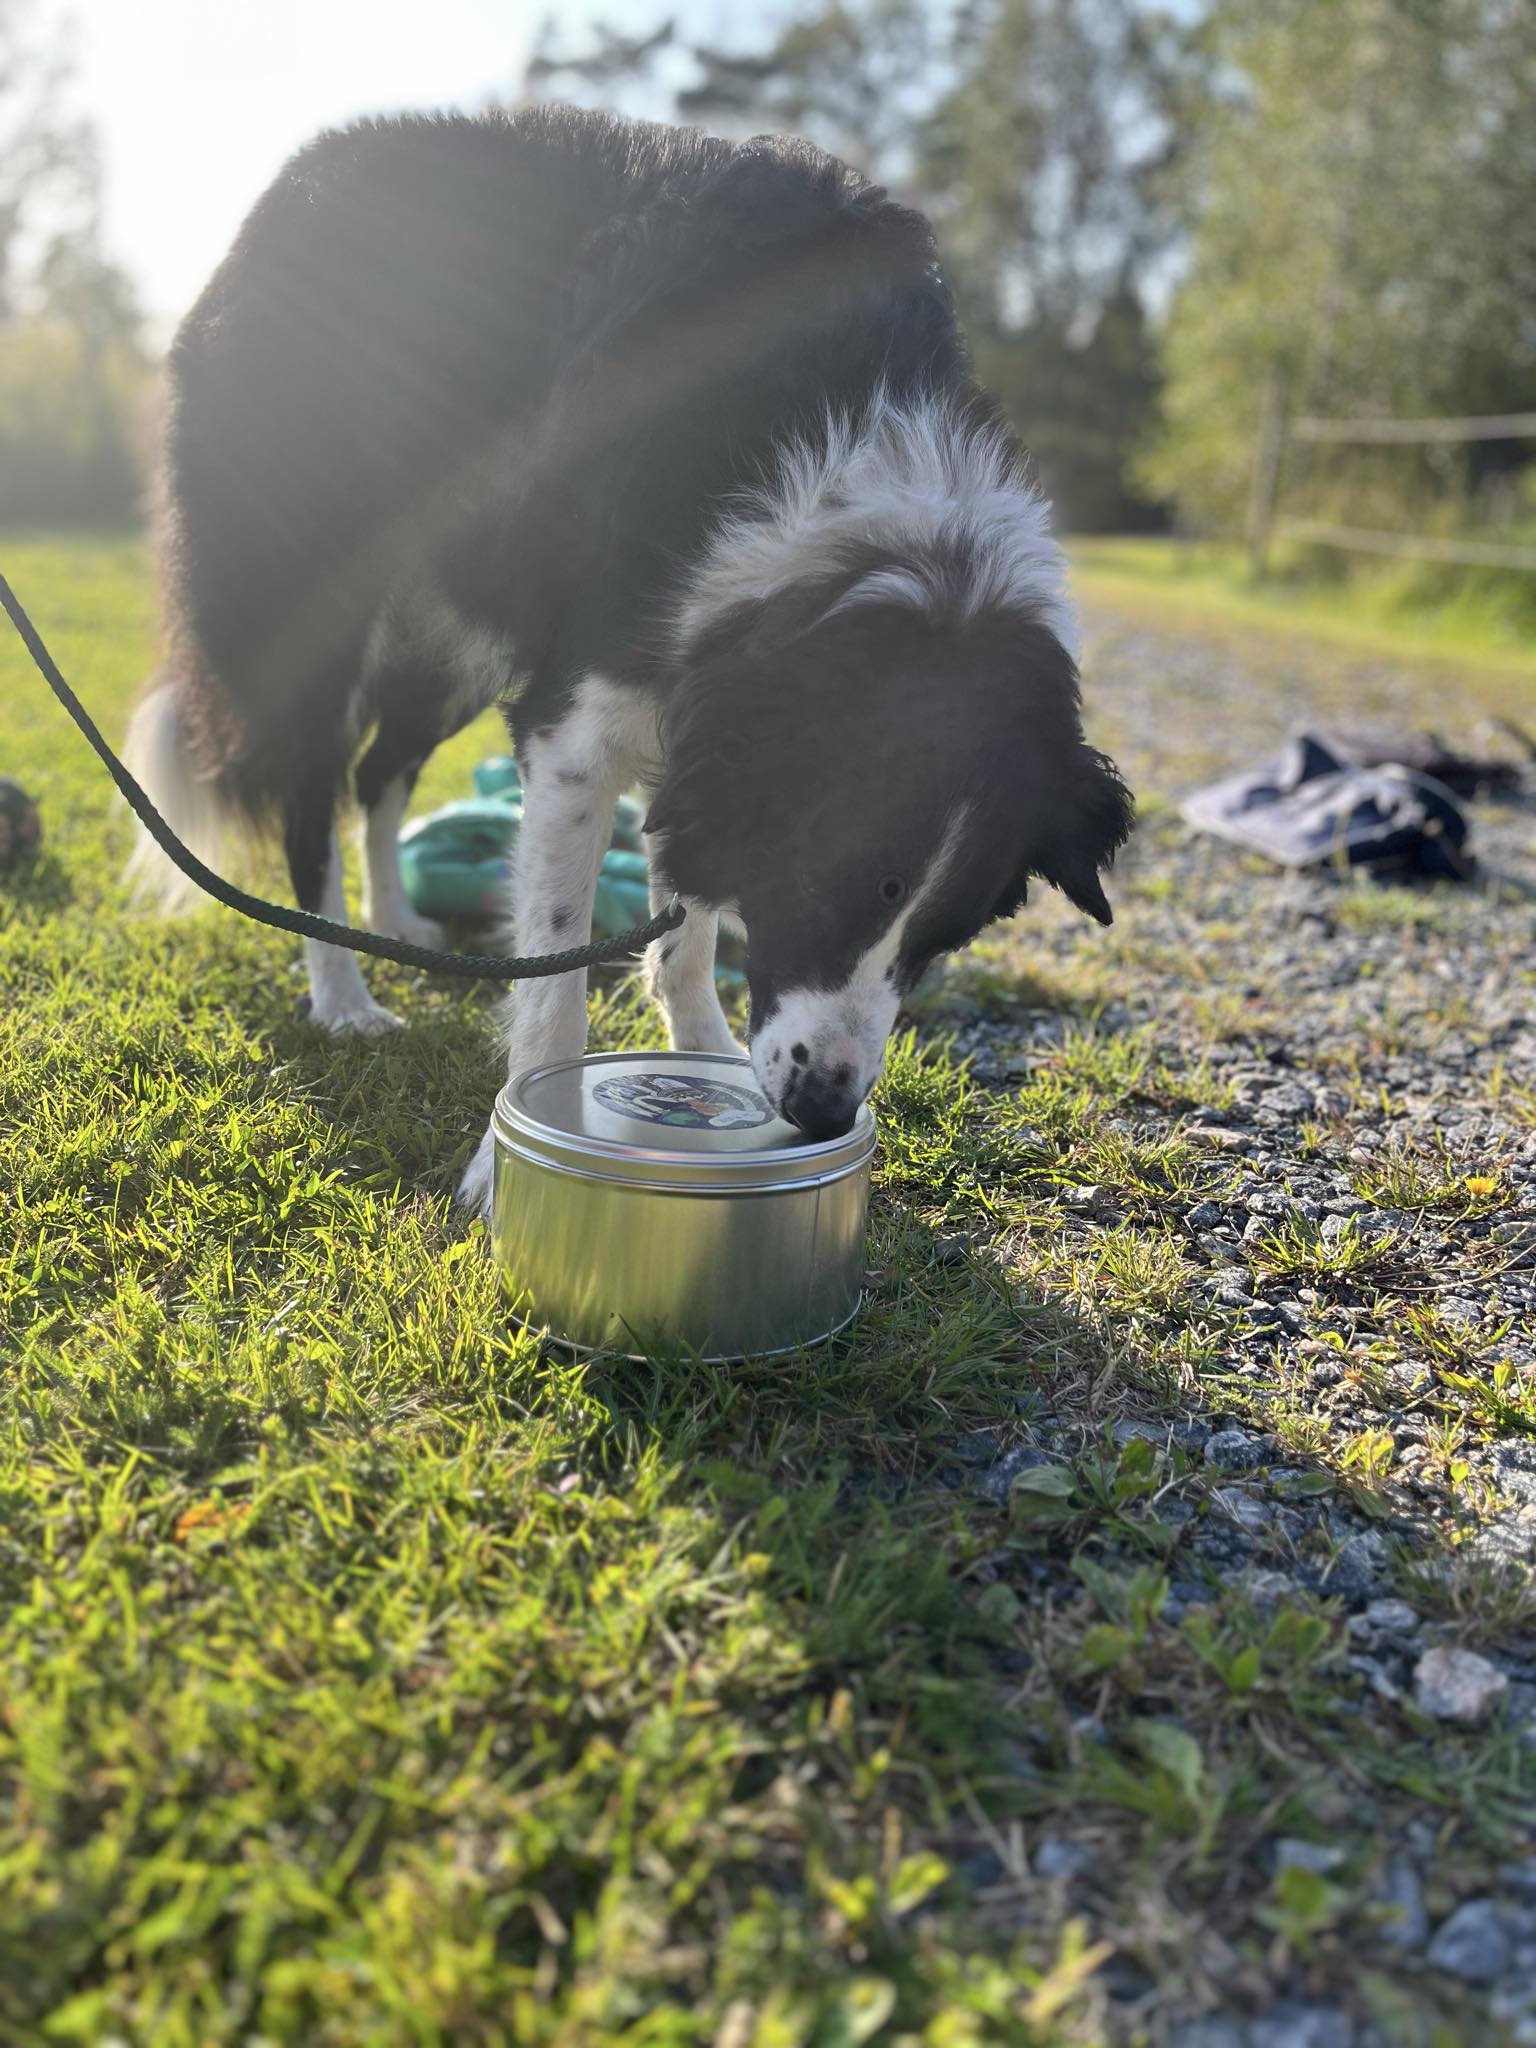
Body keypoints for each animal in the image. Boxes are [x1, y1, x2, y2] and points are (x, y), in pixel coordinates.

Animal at [125, 104, 1132, 1214]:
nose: (825, 1111)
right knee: (312, 803)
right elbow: (559, 968)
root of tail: (290, 184)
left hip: (455, 635)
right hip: (317, 602)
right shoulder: (580, 721)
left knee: (377, 771)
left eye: (949, 934)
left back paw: (393, 923)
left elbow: (686, 927)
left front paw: (701, 1051)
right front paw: (509, 1157)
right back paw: (342, 993)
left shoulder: (697, 711)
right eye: (835, 881)